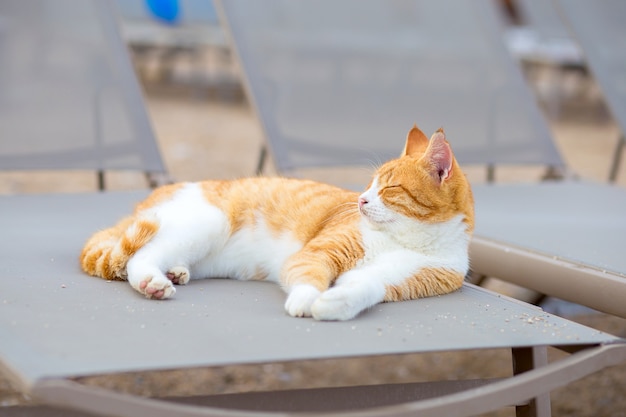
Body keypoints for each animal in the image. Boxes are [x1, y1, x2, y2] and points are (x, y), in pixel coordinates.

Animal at [81, 125, 472, 320]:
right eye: (369, 184)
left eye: (389, 188)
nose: (360, 200)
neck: (409, 239)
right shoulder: (318, 254)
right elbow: (309, 276)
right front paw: (306, 300)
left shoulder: (396, 280)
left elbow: (366, 288)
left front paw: (334, 305)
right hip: (207, 221)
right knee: (138, 256)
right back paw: (152, 282)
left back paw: (175, 272)